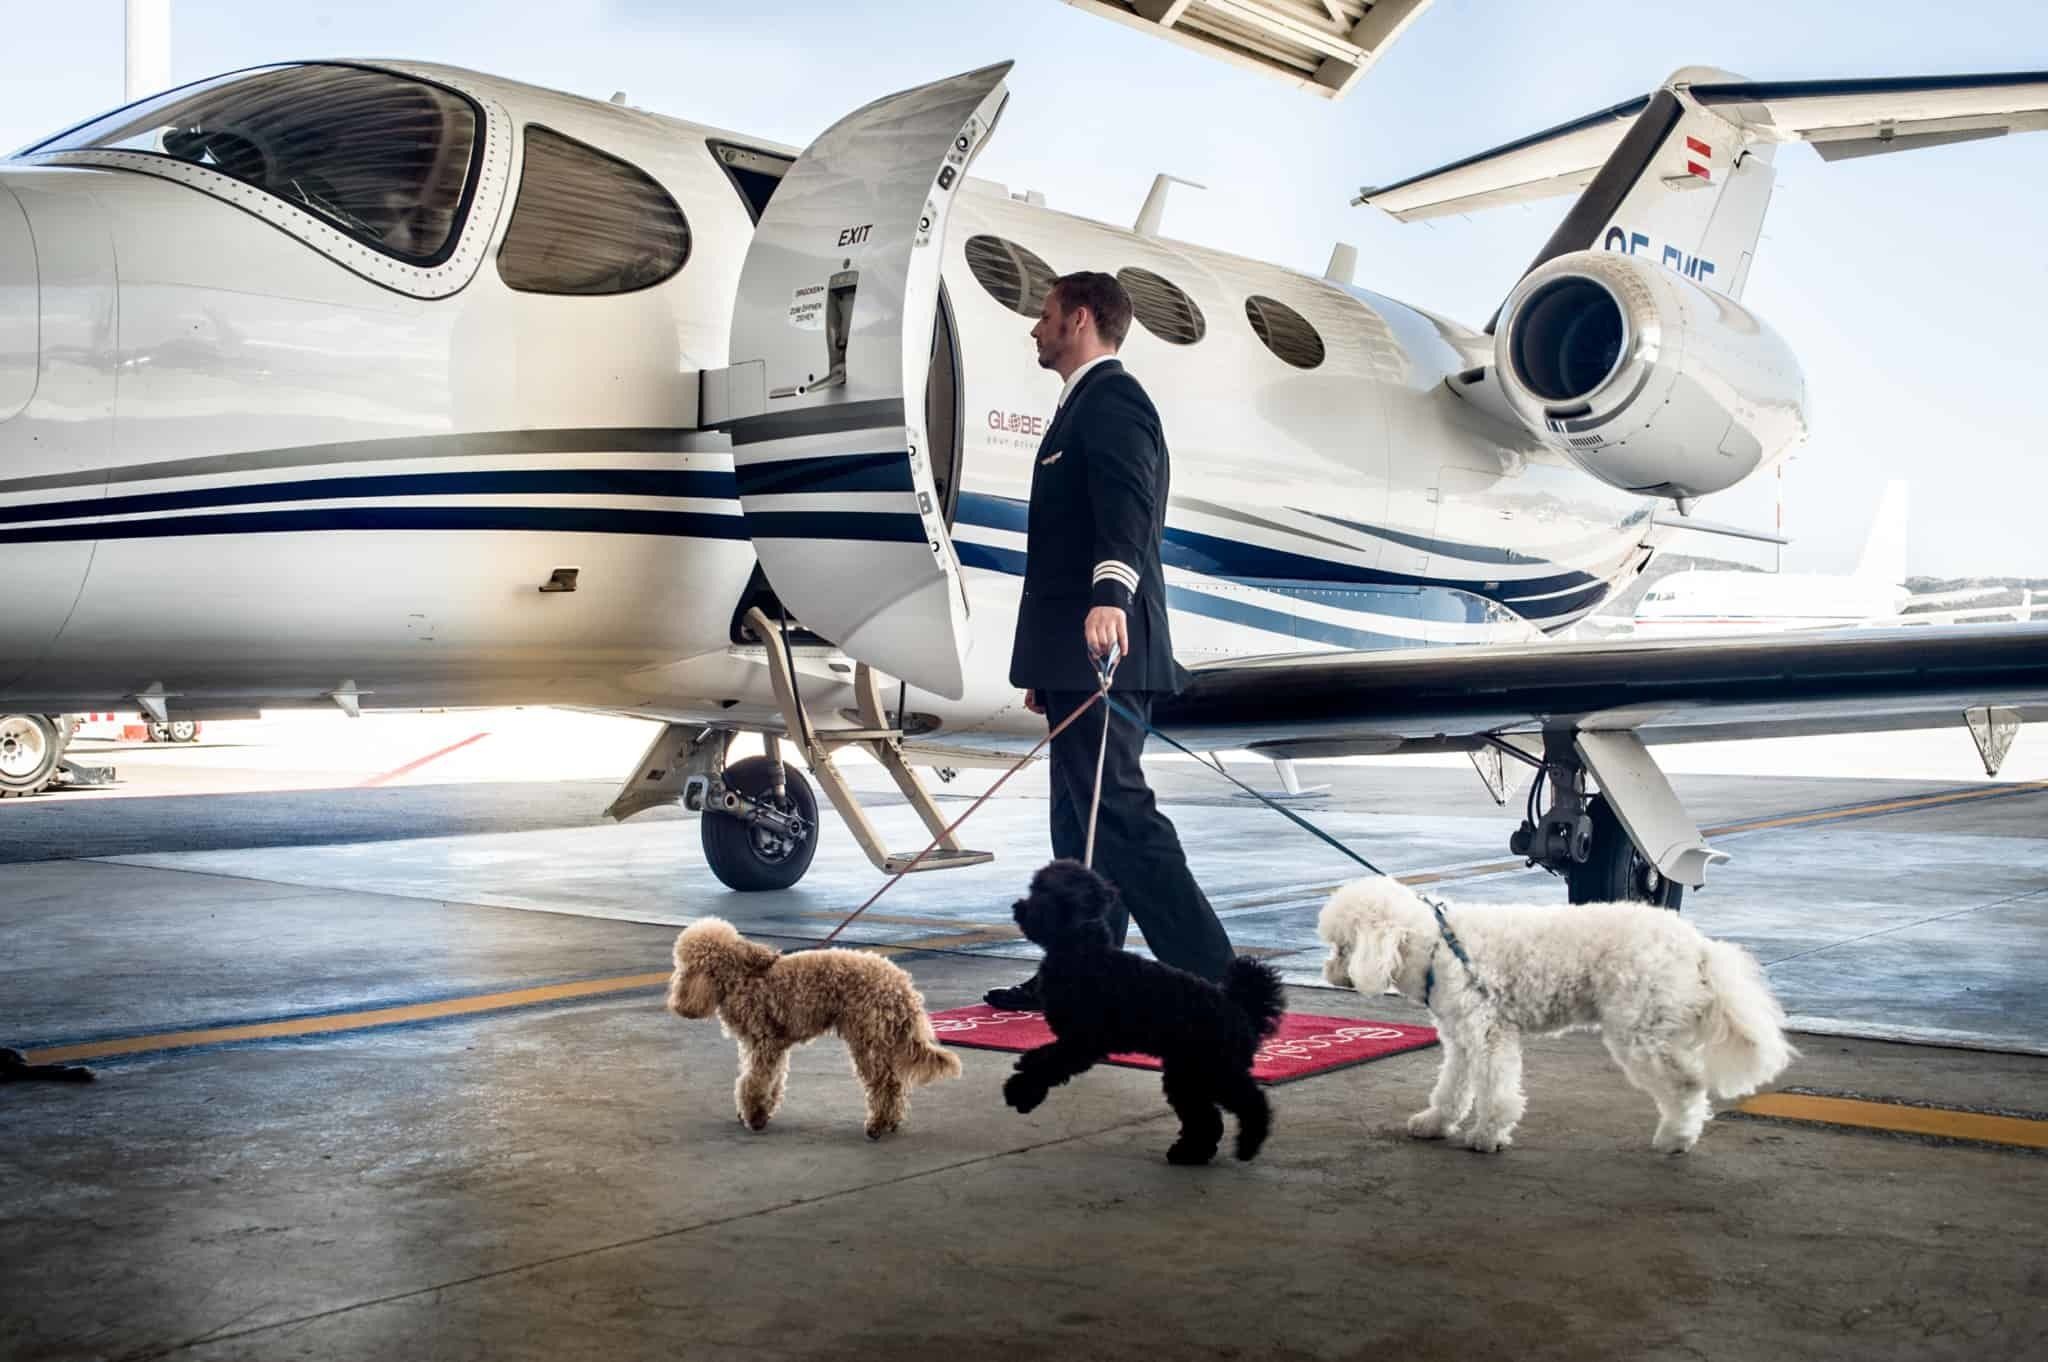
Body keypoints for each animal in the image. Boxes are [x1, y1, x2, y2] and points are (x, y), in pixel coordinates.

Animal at [1003, 860, 1286, 1155]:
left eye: (1045, 890)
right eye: (1034, 887)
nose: (1018, 907)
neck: (1084, 953)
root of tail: (1242, 1009)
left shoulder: (1083, 1042)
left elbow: (1049, 1065)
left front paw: (1021, 1091)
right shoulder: (1071, 1039)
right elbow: (1041, 1056)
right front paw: (1023, 1077)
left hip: (1215, 1069)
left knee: (1251, 1102)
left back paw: (1248, 1143)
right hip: (1187, 1072)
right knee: (1204, 1116)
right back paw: (1190, 1152)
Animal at [1318, 876, 1785, 1155]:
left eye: (1342, 946)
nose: (1330, 973)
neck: (1437, 945)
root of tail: (1698, 945)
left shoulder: (1488, 1034)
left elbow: (1496, 1091)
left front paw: (1488, 1135)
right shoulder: (1461, 1039)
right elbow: (1452, 1088)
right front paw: (1436, 1122)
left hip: (1639, 1031)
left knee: (1686, 1085)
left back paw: (1676, 1137)